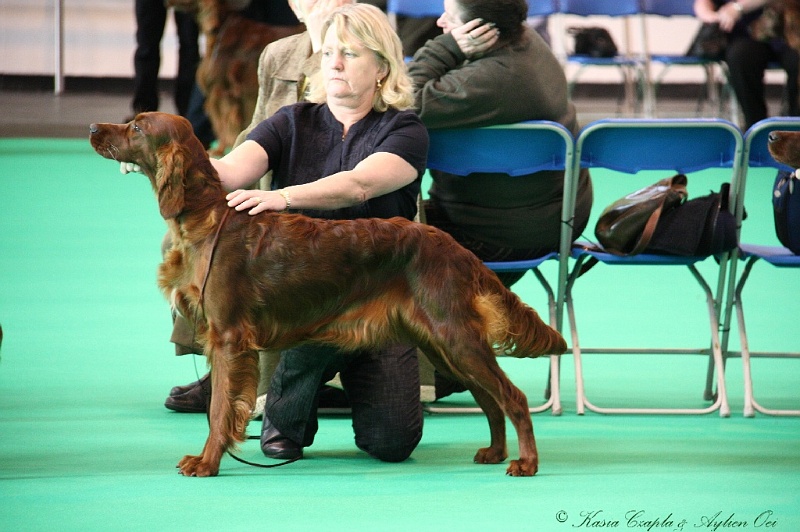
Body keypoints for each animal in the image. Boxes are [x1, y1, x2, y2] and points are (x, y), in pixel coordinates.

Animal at [89, 112, 568, 478]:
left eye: (136, 127)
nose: (94, 127)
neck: (206, 217)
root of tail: (454, 246)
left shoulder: (227, 338)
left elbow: (220, 408)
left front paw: (206, 463)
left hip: (455, 336)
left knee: (512, 398)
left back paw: (526, 463)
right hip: (443, 343)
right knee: (490, 398)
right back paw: (495, 452)